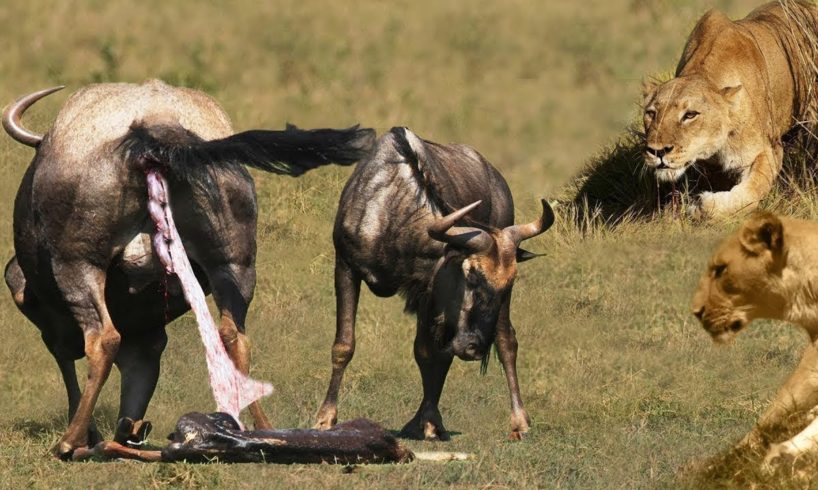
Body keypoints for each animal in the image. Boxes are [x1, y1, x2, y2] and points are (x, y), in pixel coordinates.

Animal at [2, 80, 372, 460]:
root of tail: (157, 126)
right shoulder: (149, 330)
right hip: (233, 265)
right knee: (234, 336)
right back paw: (259, 428)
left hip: (78, 265)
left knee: (103, 339)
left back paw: (69, 441)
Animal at [314, 126, 556, 440]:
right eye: (471, 273)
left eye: (510, 281)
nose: (474, 348)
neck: (395, 214)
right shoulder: (346, 267)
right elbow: (344, 345)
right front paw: (325, 418)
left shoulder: (429, 292)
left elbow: (428, 354)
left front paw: (429, 422)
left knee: (505, 341)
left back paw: (518, 421)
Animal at [644, 0, 816, 217]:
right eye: (651, 113)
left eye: (690, 115)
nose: (657, 151)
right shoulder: (711, 166)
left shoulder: (768, 150)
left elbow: (751, 192)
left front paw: (703, 206)